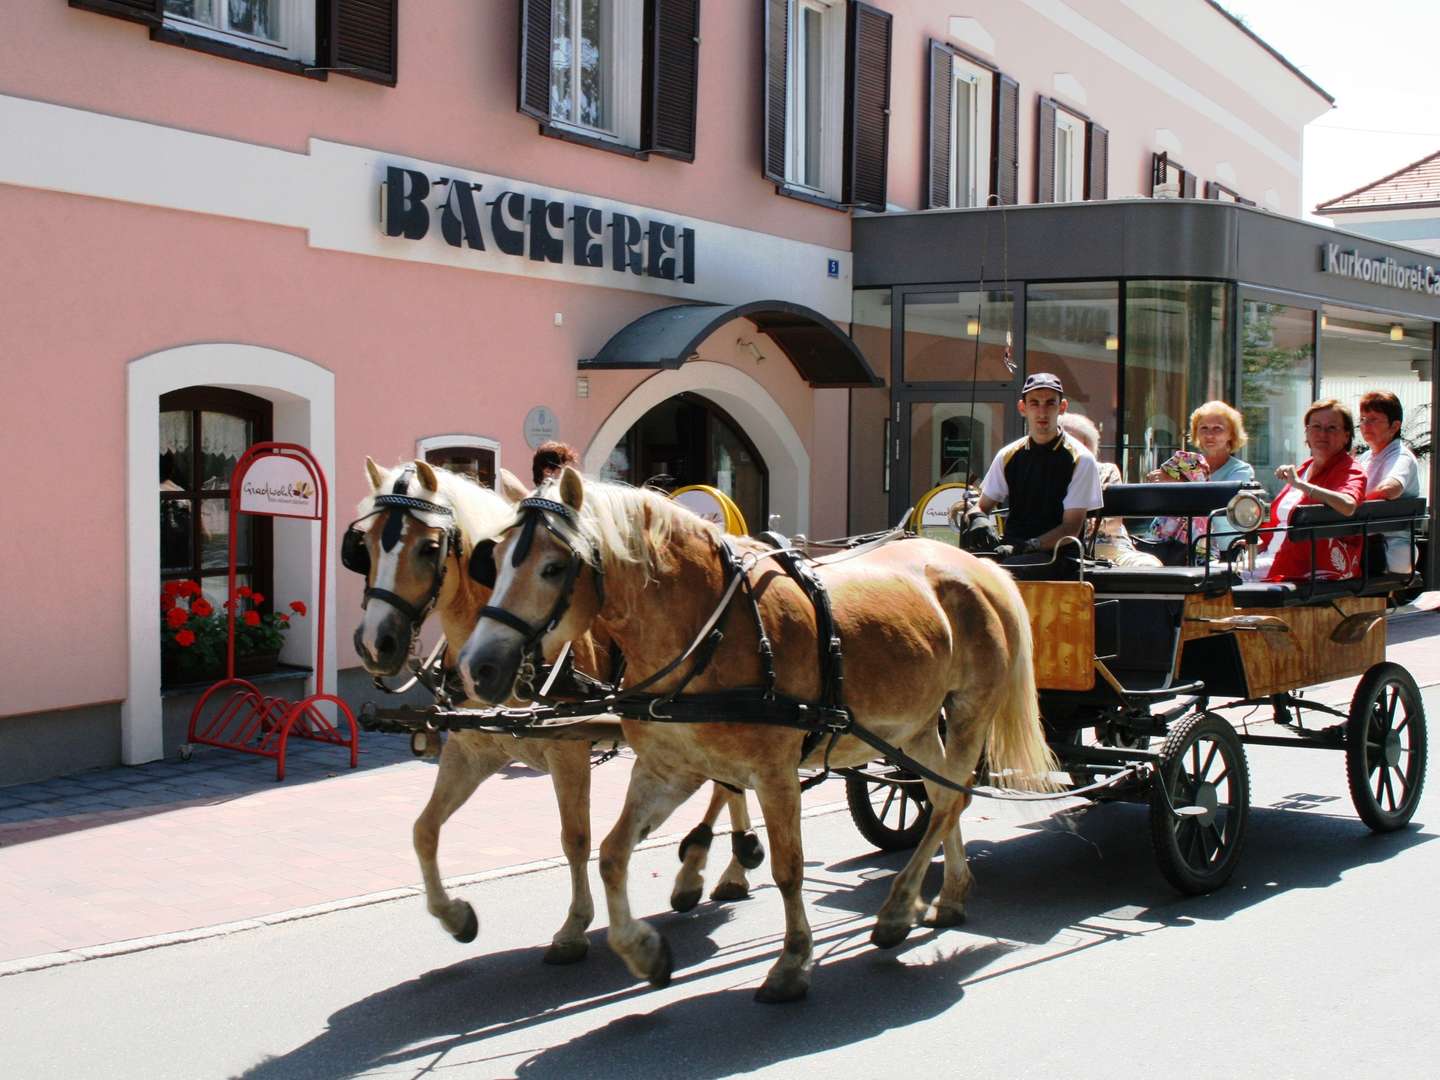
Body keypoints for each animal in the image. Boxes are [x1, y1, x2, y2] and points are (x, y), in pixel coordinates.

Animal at [347, 457, 760, 961]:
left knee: (727, 785)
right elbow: (424, 829)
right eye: (364, 546)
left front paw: (573, 927)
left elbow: (575, 839)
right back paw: (720, 866)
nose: (375, 644)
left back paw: (715, 866)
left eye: (428, 548)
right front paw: (455, 916)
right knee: (729, 784)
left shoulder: (568, 750)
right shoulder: (471, 750)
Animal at [460, 472, 1059, 1008]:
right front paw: (643, 950)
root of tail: (980, 567)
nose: (478, 667)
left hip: (968, 712)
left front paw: (791, 965)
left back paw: (896, 911)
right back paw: (948, 896)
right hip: (911, 727)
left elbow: (788, 868)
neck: (710, 628)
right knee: (940, 797)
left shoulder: (775, 774)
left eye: (554, 567)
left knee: (950, 800)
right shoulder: (668, 767)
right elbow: (611, 853)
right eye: (496, 558)